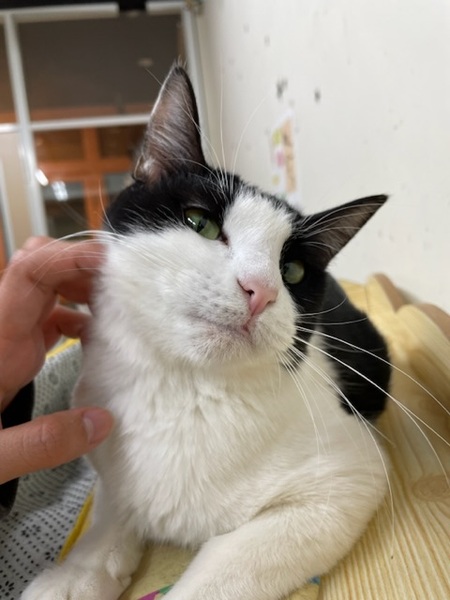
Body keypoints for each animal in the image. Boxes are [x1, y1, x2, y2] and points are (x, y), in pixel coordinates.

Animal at [22, 65, 391, 600]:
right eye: (200, 223)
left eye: (293, 271)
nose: (260, 289)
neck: (186, 388)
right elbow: (113, 503)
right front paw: (78, 570)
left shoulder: (346, 479)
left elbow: (228, 569)